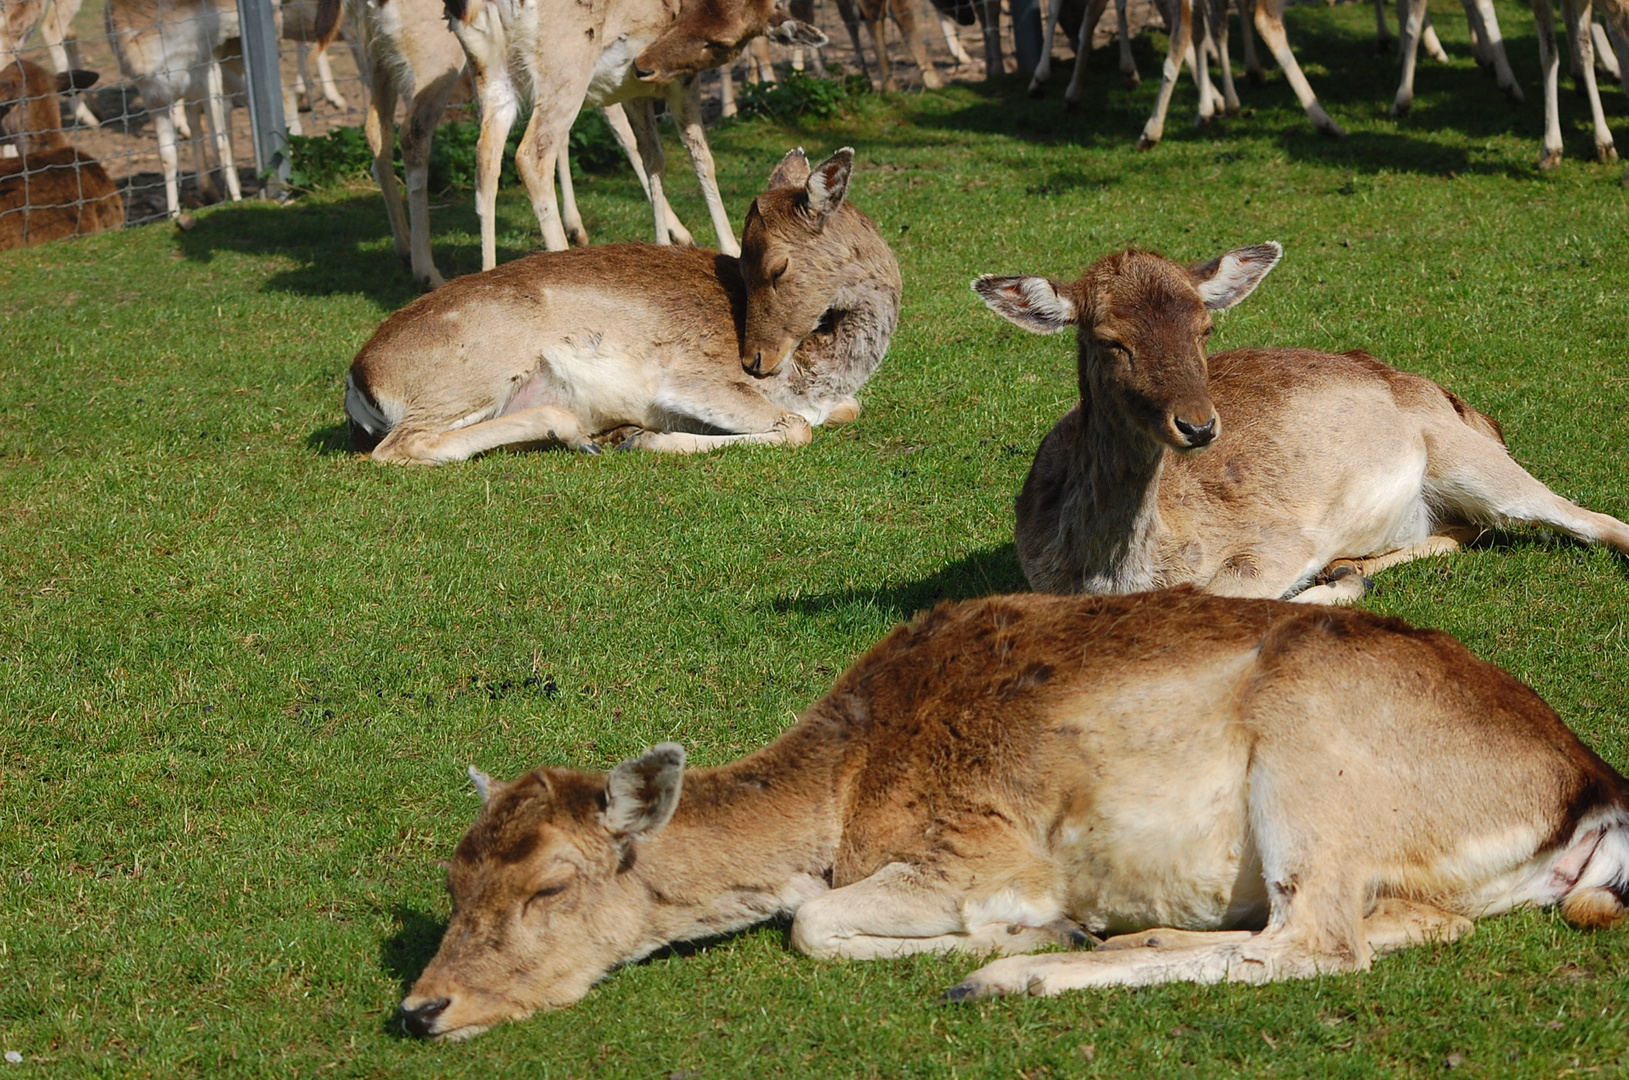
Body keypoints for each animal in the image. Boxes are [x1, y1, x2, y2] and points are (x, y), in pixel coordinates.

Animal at [346, 146, 905, 459]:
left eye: (773, 268)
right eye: (746, 268)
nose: (755, 361)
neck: (819, 374)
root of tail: (359, 378)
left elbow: (841, 412)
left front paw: (633, 435)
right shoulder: (692, 378)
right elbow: (795, 428)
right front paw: (646, 438)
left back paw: (590, 434)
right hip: (471, 375)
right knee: (397, 447)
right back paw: (587, 432)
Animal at [394, 592, 1629, 1042]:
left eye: (550, 885)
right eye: (452, 882)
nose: (419, 1008)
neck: (846, 784)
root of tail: (1589, 787)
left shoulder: (982, 848)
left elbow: (811, 921)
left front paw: (1014, 937)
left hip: (1311, 754)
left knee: (1318, 942)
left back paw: (1018, 971)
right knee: (1397, 927)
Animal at [970, 241, 1629, 602]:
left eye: (1205, 328)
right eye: (1111, 339)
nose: (1200, 426)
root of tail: (1452, 400)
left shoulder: (1274, 541)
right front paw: (1342, 578)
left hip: (1472, 459)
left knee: (1596, 521)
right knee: (1468, 531)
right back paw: (1353, 566)